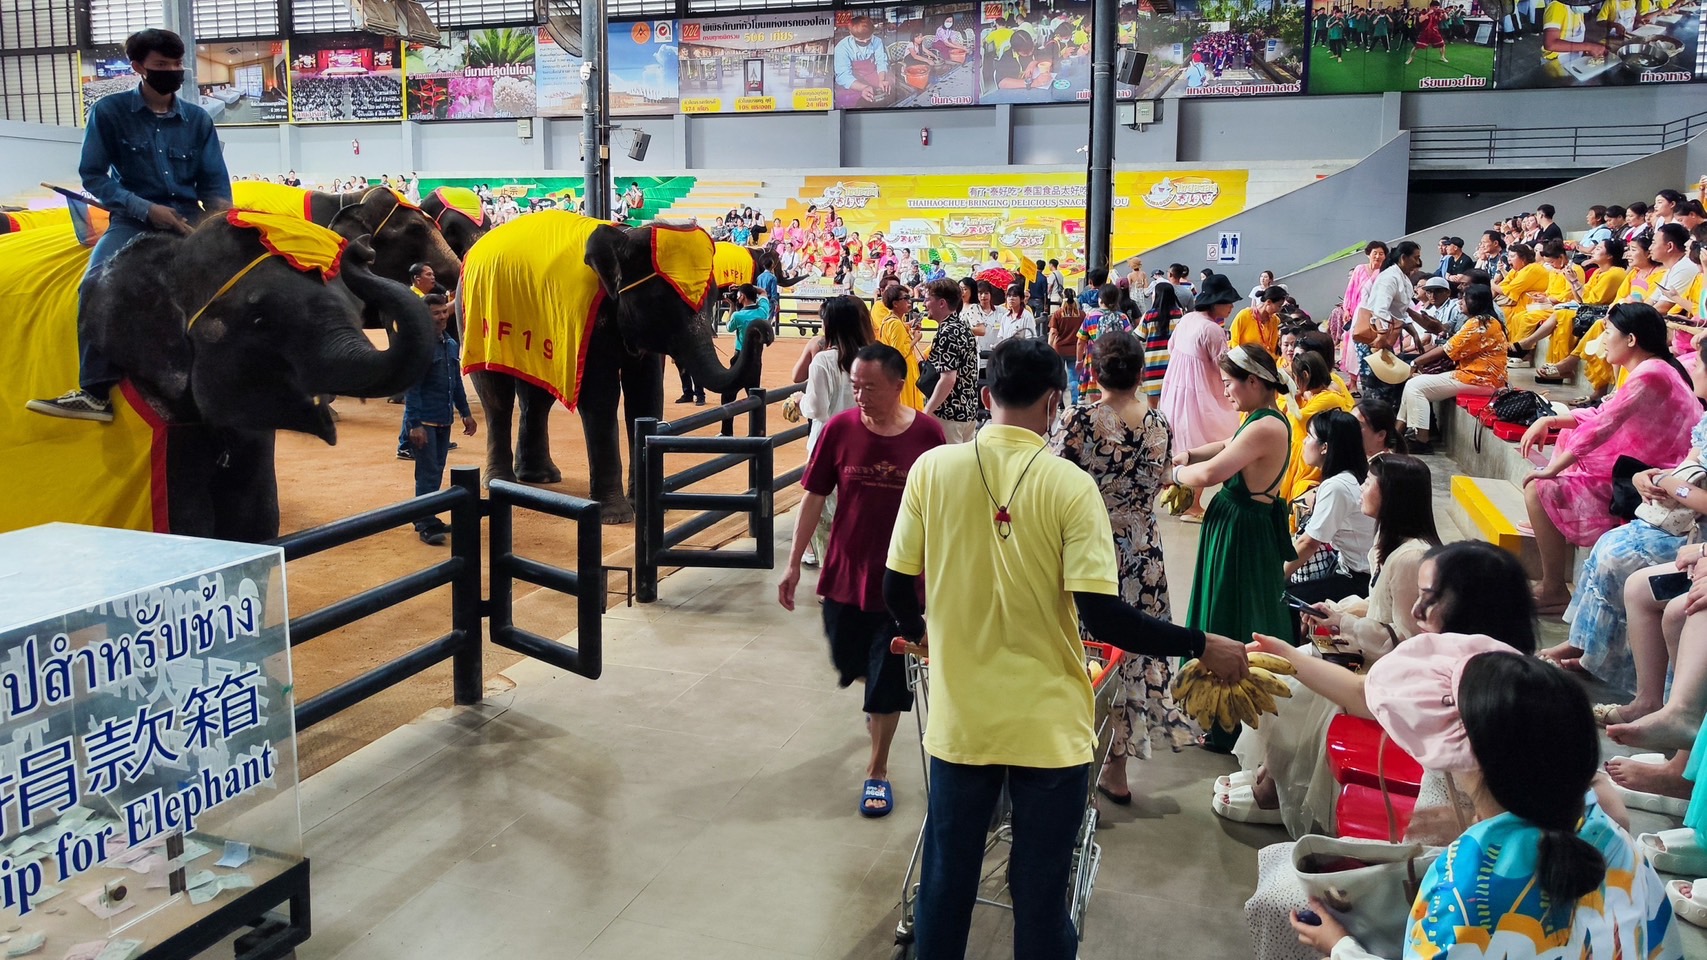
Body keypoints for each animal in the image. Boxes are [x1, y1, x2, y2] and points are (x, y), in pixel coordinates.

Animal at [82, 212, 434, 542]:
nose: (363, 247)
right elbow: (189, 530)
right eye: (259, 320)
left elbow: (256, 523)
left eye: (356, 311)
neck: (175, 253)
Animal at [459, 211, 771, 524]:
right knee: (496, 397)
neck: (627, 237)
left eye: (712, 298)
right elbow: (601, 398)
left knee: (537, 397)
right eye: (663, 303)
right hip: (477, 317)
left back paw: (541, 477)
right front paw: (617, 517)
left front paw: (644, 506)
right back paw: (500, 481)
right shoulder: (588, 325)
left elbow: (646, 397)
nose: (762, 330)